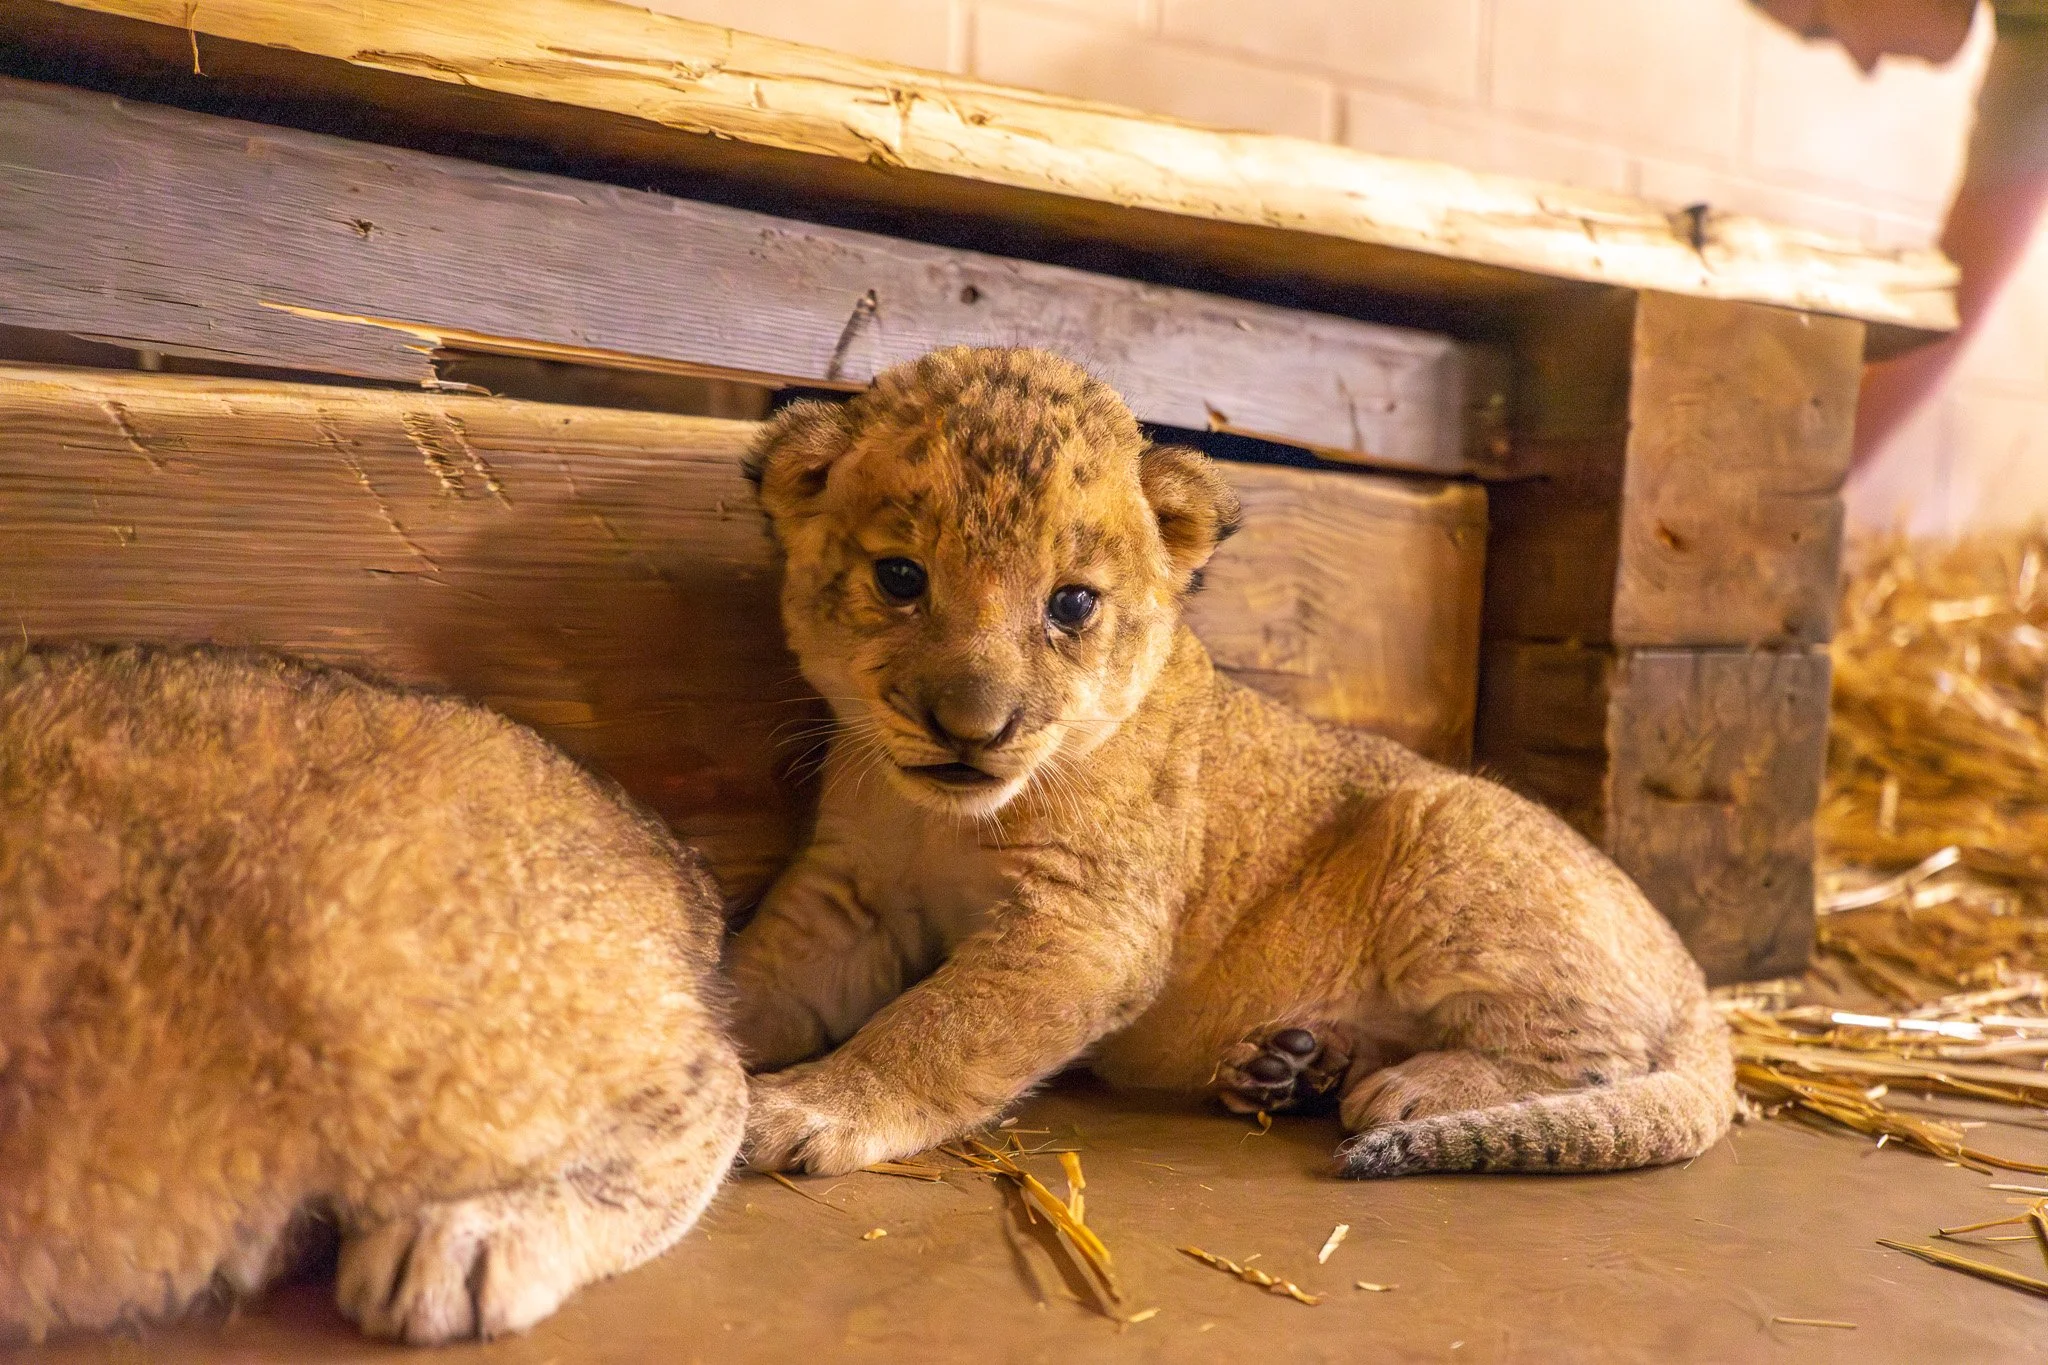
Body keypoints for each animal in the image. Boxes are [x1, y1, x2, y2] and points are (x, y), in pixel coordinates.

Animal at [728, 346, 1734, 1181]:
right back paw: (1291, 1067)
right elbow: (759, 975)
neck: (944, 819)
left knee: (1597, 1055)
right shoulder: (849, 895)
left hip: (1453, 835)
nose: (971, 727)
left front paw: (811, 1107)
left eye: (1072, 603)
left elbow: (937, 1025)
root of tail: (1690, 975)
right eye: (900, 577)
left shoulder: (1089, 925)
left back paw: (1412, 1088)